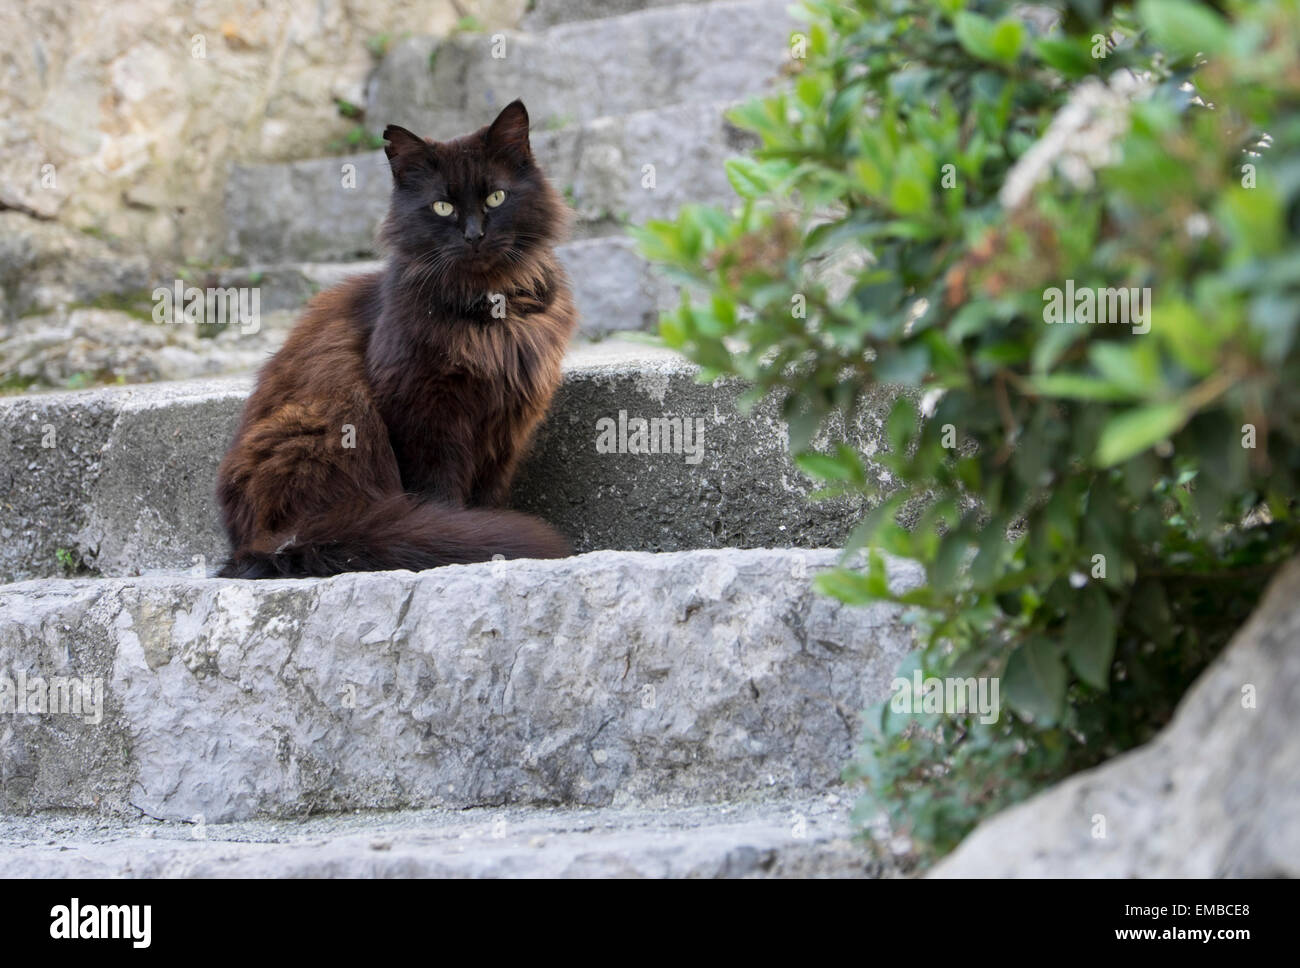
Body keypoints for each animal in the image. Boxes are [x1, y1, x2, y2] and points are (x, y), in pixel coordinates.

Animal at [215, 101, 577, 576]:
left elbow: (488, 496)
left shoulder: (508, 427)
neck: (490, 316)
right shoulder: (421, 413)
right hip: (332, 419)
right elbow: (439, 493)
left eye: (495, 198)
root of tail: (249, 543)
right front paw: (465, 537)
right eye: (442, 207)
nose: (474, 235)